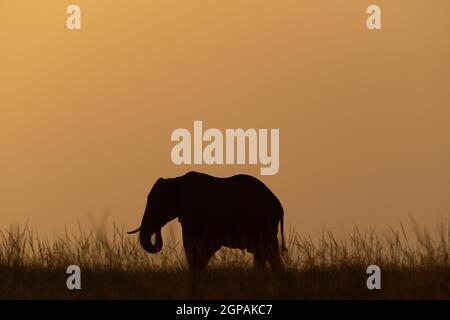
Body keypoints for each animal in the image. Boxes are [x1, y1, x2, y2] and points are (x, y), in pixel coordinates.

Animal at [128, 171, 286, 272]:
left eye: (155, 204)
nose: (157, 228)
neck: (176, 181)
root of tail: (279, 205)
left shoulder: (193, 214)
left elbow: (193, 246)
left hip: (264, 222)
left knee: (268, 251)